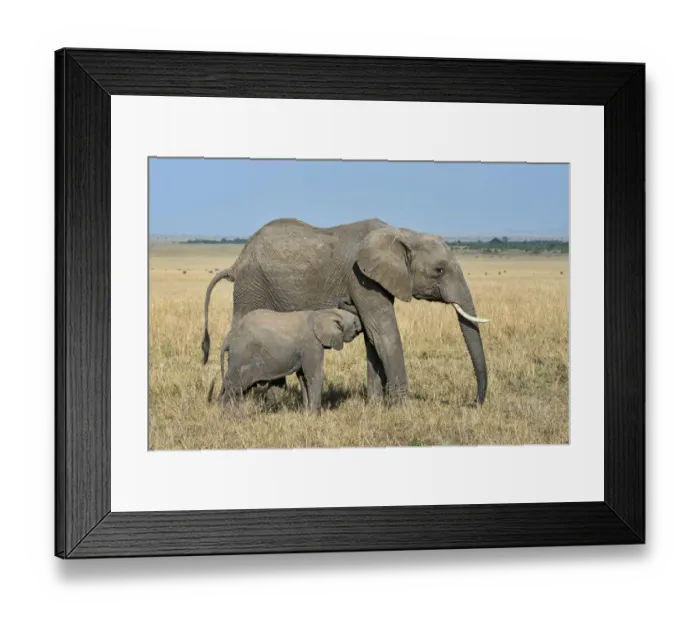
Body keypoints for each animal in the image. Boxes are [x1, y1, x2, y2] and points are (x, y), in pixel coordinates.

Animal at [207, 308, 363, 412]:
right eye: (355, 322)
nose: (361, 324)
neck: (323, 313)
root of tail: (229, 338)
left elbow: (303, 377)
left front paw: (306, 413)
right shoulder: (311, 344)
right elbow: (314, 374)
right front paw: (315, 415)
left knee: (236, 386)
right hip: (242, 355)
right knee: (235, 384)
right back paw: (227, 415)